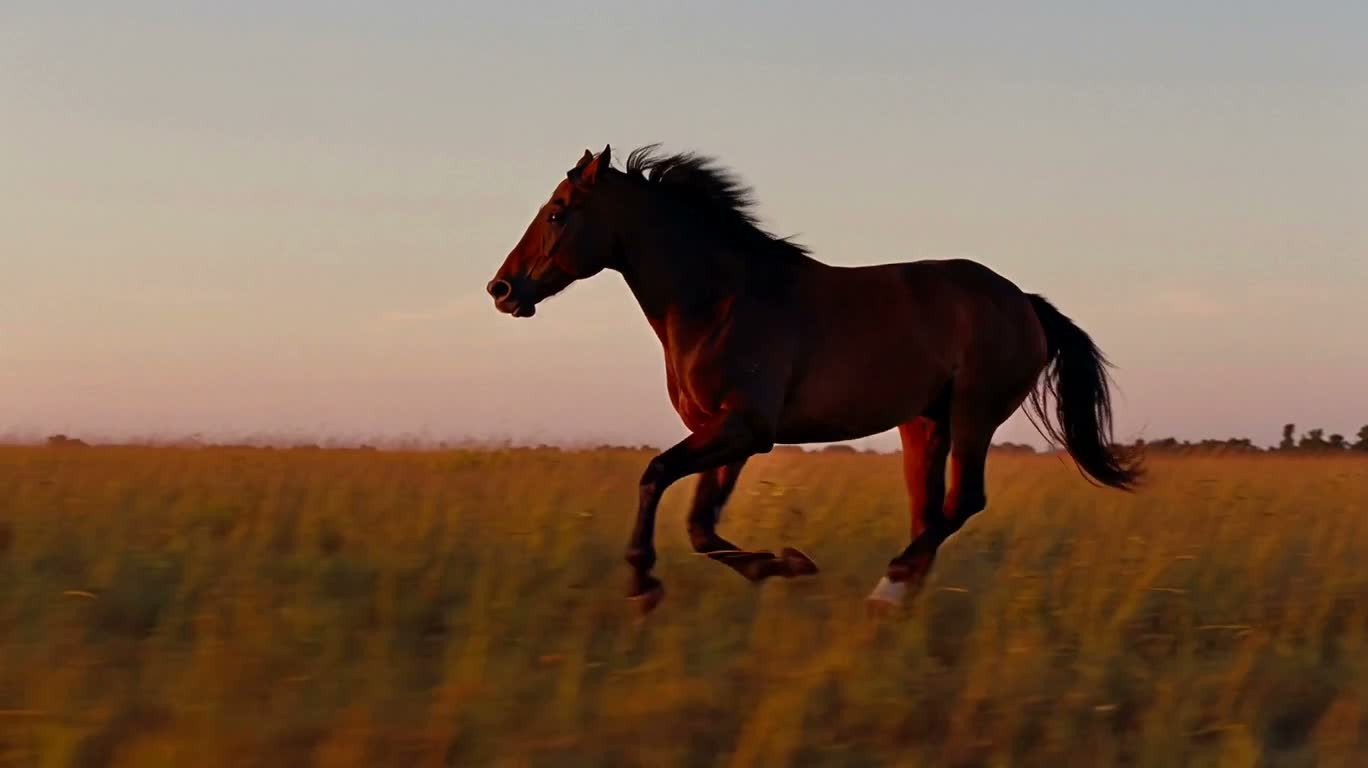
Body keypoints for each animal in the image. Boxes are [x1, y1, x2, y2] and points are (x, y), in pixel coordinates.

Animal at [487, 145, 1142, 614]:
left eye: (557, 213)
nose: (502, 289)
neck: (720, 300)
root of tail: (1025, 302)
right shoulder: (727, 435)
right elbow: (700, 527)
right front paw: (783, 563)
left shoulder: (743, 429)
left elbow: (656, 477)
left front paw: (645, 583)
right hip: (923, 424)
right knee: (928, 512)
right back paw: (898, 598)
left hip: (973, 414)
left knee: (963, 503)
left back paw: (888, 589)